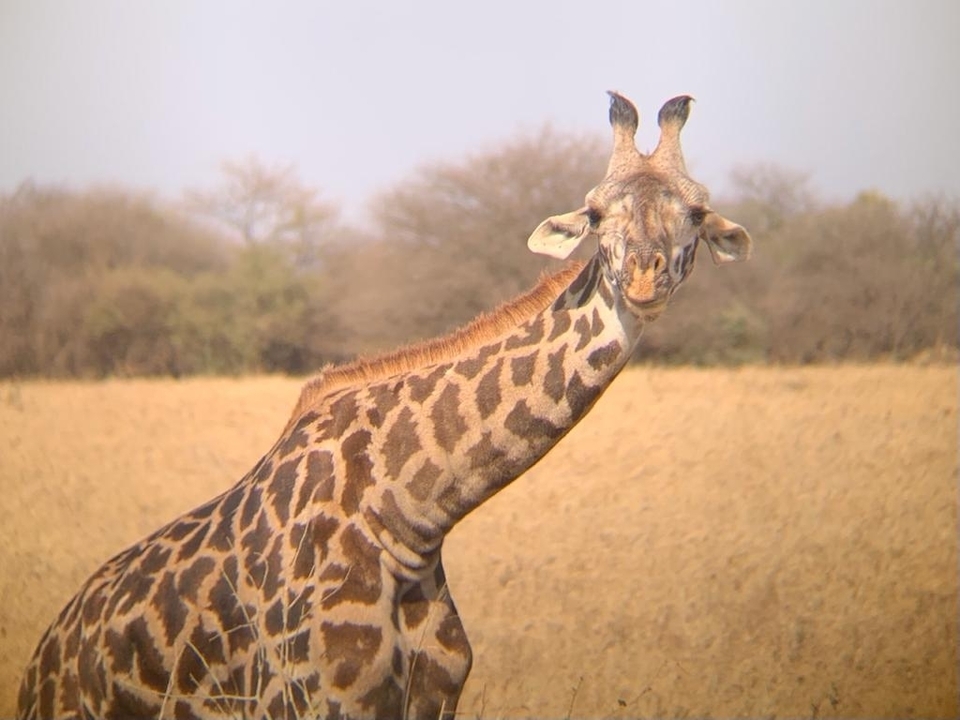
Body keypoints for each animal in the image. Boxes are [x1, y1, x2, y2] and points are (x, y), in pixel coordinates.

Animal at [17, 92, 750, 720]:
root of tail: (40, 666)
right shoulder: (309, 699)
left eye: (695, 213)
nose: (644, 279)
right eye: (595, 214)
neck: (410, 516)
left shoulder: (429, 697)